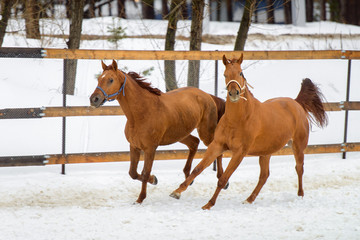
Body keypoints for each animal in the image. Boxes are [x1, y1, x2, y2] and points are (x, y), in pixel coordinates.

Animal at [90, 60, 225, 204]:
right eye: (99, 79)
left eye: (110, 80)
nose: (94, 99)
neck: (141, 114)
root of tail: (208, 95)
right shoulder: (134, 146)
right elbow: (133, 173)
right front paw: (154, 179)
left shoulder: (150, 148)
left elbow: (145, 173)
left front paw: (140, 198)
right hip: (180, 134)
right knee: (194, 143)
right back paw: (188, 178)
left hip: (205, 132)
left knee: (216, 149)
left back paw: (221, 180)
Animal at [170, 53, 328, 209]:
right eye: (225, 74)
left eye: (240, 72)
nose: (234, 93)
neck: (238, 119)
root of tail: (296, 103)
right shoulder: (217, 145)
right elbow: (198, 168)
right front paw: (177, 192)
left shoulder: (240, 152)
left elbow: (223, 179)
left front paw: (209, 204)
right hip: (266, 152)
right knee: (264, 175)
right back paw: (249, 199)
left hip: (298, 146)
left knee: (299, 168)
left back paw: (300, 195)